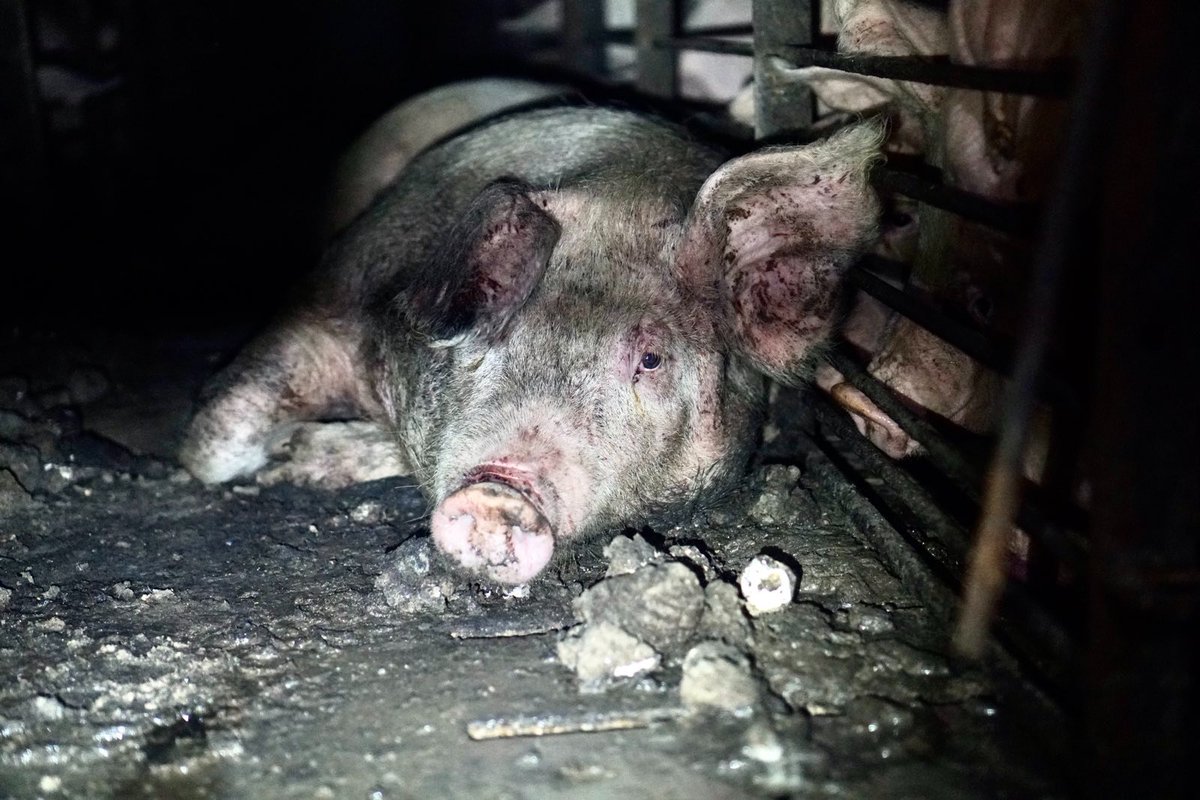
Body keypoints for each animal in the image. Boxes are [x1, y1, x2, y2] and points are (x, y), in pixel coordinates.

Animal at [180, 83, 883, 584]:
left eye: (652, 359)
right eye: (488, 334)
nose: (496, 494)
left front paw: (302, 457)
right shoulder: (332, 292)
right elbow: (214, 443)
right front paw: (277, 460)